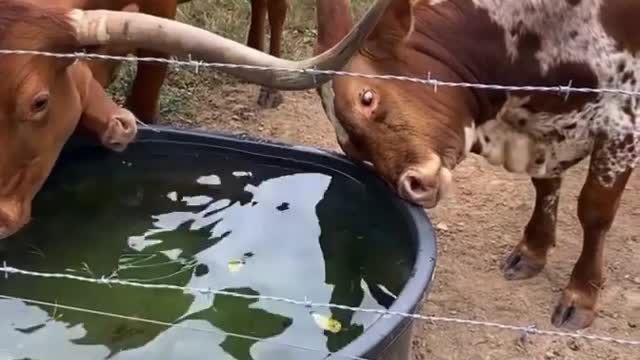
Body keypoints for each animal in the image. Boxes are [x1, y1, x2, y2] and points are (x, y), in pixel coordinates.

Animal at [312, 0, 640, 332]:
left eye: (367, 98)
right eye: (351, 147)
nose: (411, 186)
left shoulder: (623, 117)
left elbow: (595, 212)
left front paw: (581, 294)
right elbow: (545, 186)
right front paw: (532, 251)